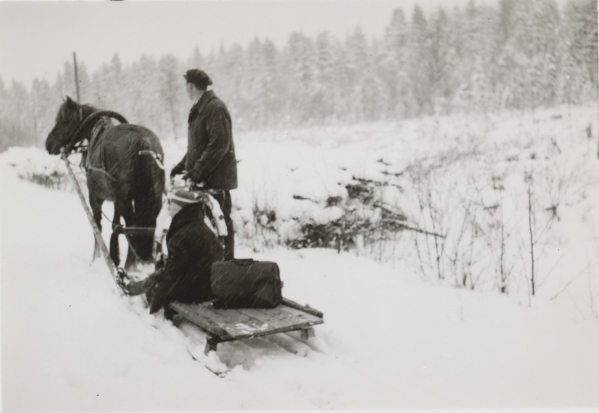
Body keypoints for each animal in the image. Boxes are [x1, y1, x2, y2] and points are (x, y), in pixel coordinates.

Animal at [46, 96, 166, 270]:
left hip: (124, 199)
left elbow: (97, 225)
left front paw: (96, 259)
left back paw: (130, 265)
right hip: (154, 196)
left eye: (65, 120)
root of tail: (144, 143)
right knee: (148, 226)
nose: (48, 144)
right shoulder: (115, 199)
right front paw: (114, 257)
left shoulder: (95, 195)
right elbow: (116, 225)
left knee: (132, 225)